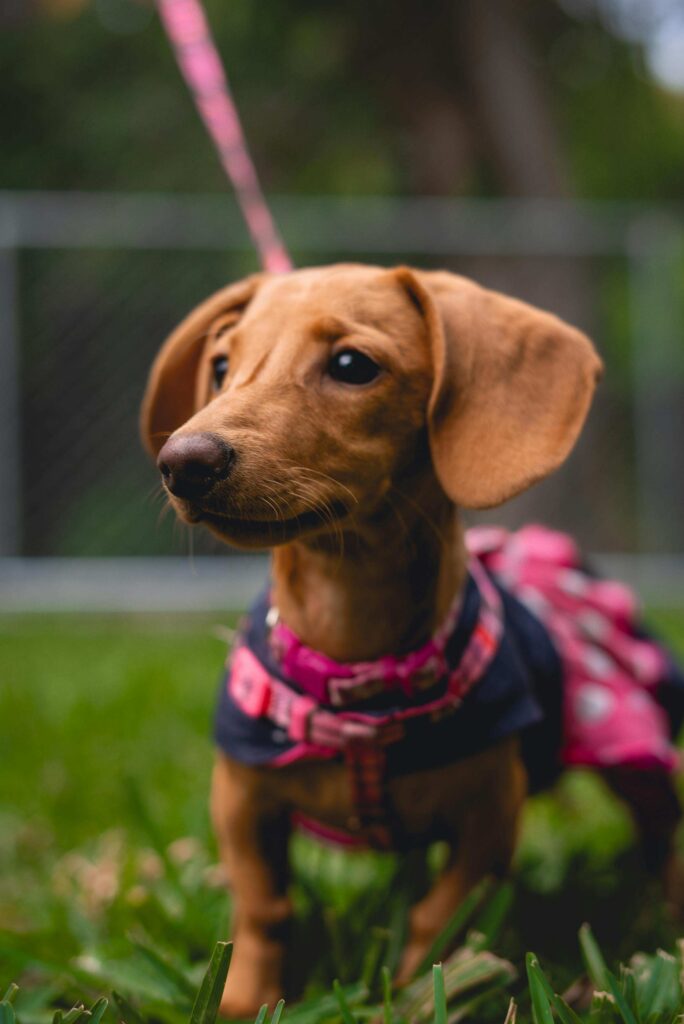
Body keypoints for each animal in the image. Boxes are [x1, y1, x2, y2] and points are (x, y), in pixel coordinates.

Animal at [141, 264, 679, 1015]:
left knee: (664, 832)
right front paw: (243, 1001)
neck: (357, 658)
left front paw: (420, 995)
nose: (183, 462)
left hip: (634, 747)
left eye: (351, 365)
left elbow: (439, 917)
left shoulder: (490, 819)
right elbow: (263, 911)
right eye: (221, 365)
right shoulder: (242, 801)